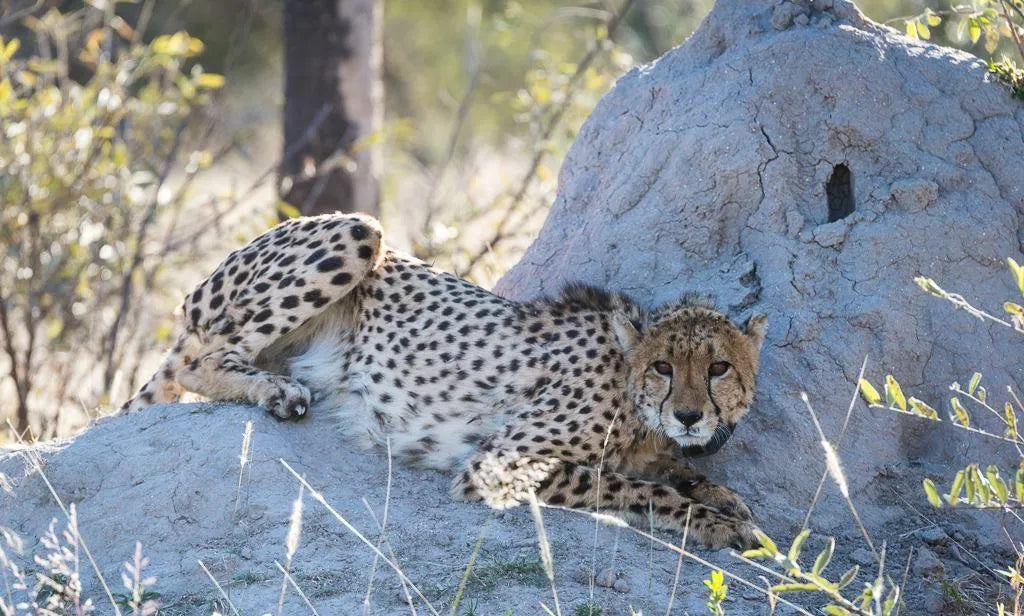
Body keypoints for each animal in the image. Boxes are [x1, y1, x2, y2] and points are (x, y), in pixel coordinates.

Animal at [120, 212, 769, 549]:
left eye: (718, 368)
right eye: (663, 367)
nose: (689, 415)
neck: (633, 396)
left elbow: (679, 473)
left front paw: (724, 497)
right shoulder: (498, 464)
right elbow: (638, 488)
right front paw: (720, 523)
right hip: (356, 232)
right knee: (201, 361)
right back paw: (276, 391)